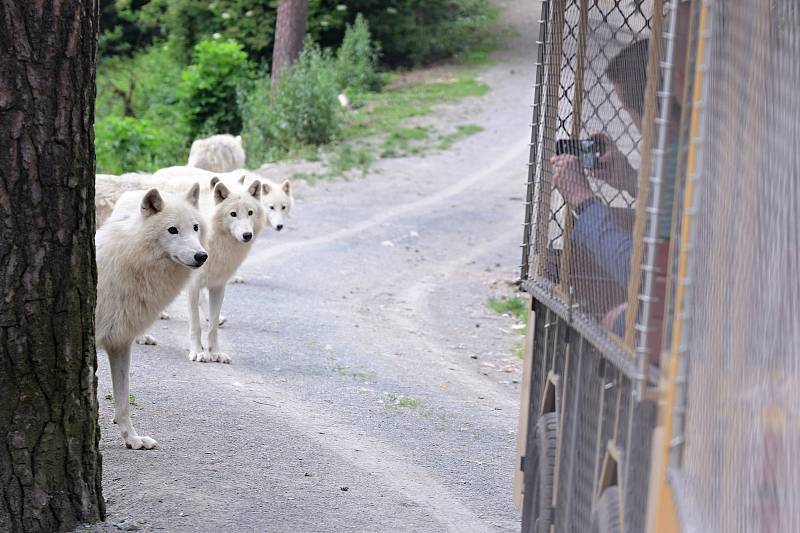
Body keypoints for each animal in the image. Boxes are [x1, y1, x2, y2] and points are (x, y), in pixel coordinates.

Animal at [187, 177, 262, 364]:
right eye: (233, 214)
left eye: (250, 212)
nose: (247, 235)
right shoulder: (193, 285)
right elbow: (196, 325)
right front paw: (198, 352)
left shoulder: (218, 287)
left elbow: (213, 327)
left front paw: (214, 353)